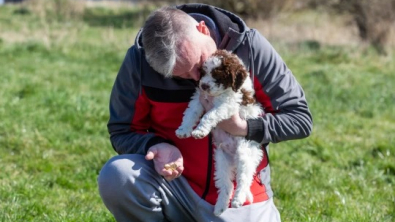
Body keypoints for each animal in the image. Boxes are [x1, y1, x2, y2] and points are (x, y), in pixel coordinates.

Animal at [177, 49, 264, 215]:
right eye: (203, 72)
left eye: (218, 77)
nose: (204, 85)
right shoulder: (199, 98)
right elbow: (191, 113)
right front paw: (183, 130)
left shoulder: (227, 104)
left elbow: (209, 115)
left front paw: (199, 131)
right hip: (221, 161)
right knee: (226, 185)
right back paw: (220, 207)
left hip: (245, 153)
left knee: (244, 179)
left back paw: (238, 200)